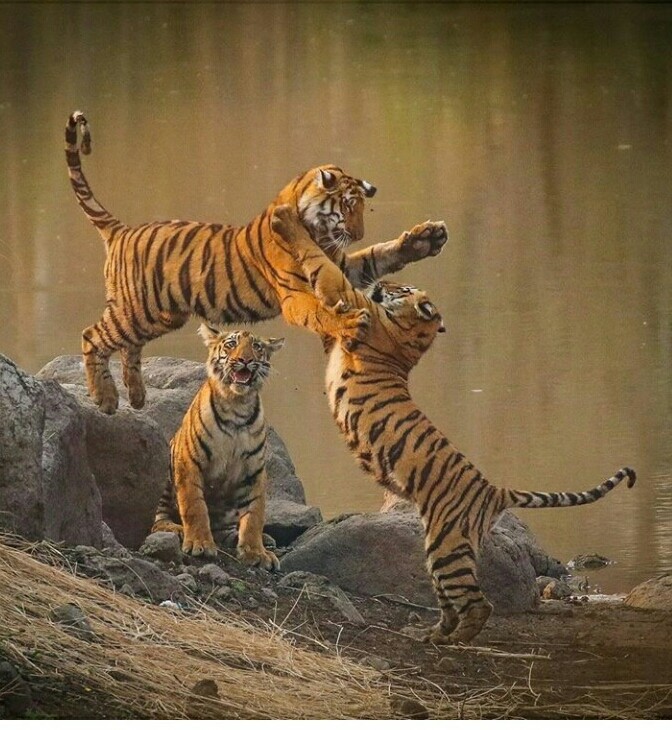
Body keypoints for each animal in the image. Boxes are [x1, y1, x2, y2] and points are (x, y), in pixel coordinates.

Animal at [64, 110, 448, 415]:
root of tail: (122, 230)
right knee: (92, 336)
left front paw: (425, 239)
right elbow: (322, 312)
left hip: (158, 315)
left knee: (128, 346)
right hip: (136, 309)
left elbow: (376, 258)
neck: (317, 230)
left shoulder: (342, 265)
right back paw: (106, 399)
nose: (358, 233)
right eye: (348, 207)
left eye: (362, 208)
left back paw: (137, 396)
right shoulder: (296, 295)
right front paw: (350, 322)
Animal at [151, 324, 284, 568]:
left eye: (257, 347)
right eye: (231, 344)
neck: (237, 405)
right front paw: (200, 544)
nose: (245, 360)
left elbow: (254, 514)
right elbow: (194, 505)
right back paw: (176, 529)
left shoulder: (254, 471)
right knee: (157, 518)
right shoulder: (189, 462)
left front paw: (256, 552)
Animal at [270, 203, 637, 643]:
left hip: (447, 547)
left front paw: (286, 223)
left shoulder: (352, 304)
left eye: (401, 289)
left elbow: (325, 267)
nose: (386, 283)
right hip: (439, 548)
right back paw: (432, 634)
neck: (412, 336)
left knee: (480, 604)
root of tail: (494, 490)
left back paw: (454, 639)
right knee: (452, 601)